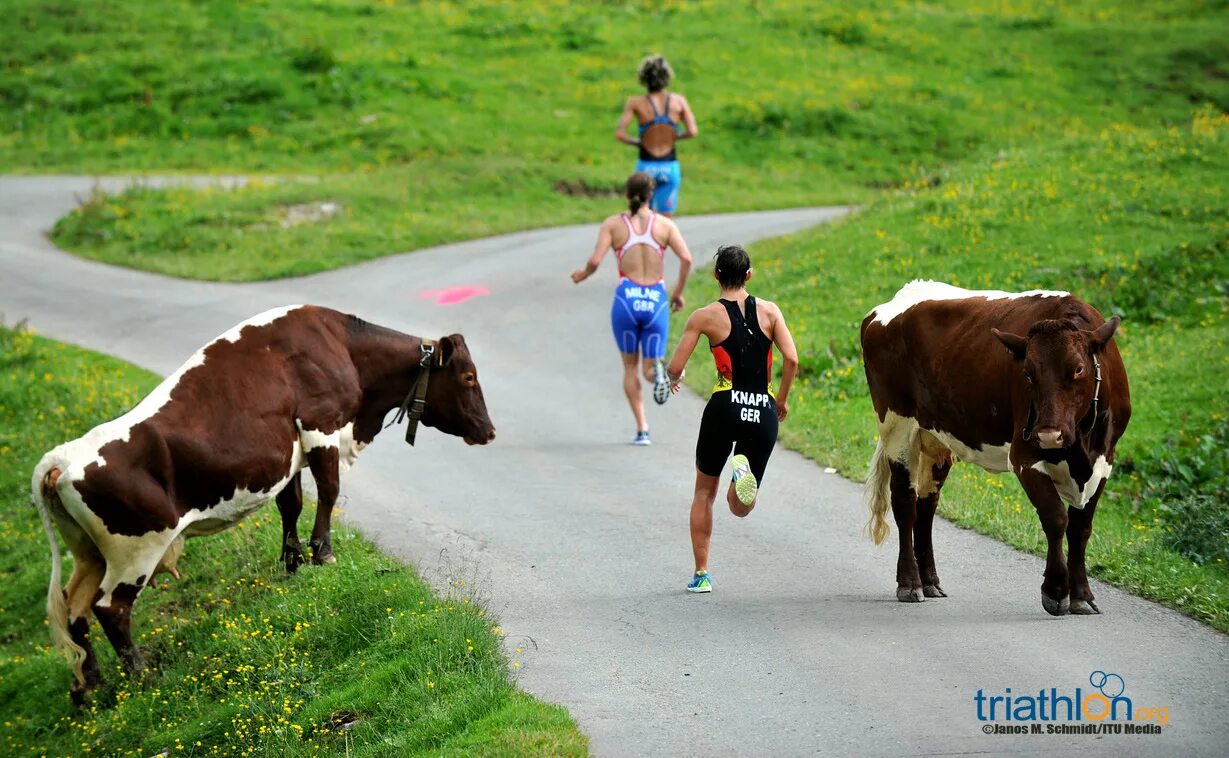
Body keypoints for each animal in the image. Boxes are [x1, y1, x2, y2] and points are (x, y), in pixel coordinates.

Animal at [29, 304, 489, 702]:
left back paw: (91, 683)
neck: (342, 347)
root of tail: (63, 457)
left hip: (89, 553)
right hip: (136, 550)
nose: (490, 430)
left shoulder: (290, 455)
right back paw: (142, 677)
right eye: (468, 377)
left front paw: (293, 562)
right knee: (111, 609)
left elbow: (293, 504)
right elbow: (329, 492)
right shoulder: (320, 427)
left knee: (75, 609)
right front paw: (323, 554)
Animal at [860, 281, 1125, 616]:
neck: (1081, 446)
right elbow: (1056, 518)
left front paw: (1082, 595)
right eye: (1027, 373)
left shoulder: (1104, 461)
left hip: (936, 438)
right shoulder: (1025, 456)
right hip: (897, 425)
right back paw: (910, 583)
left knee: (927, 505)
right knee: (905, 503)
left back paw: (930, 581)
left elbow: (1081, 528)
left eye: (1078, 369)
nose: (1049, 434)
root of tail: (898, 298)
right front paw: (1055, 591)